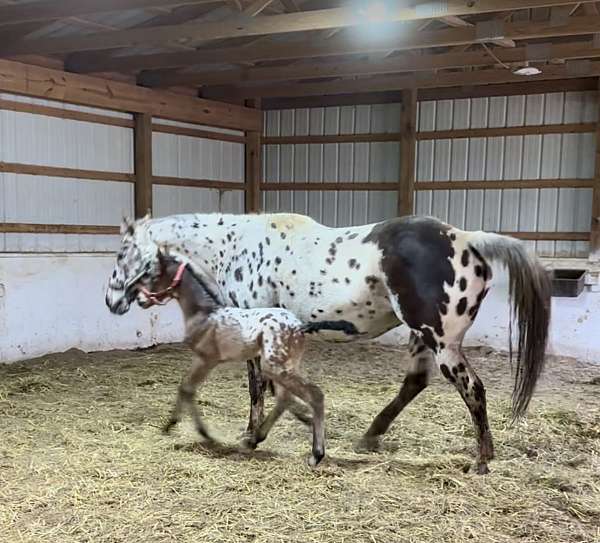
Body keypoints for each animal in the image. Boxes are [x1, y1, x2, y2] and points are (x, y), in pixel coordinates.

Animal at [137, 253, 338, 466]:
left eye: (155, 275)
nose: (141, 300)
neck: (204, 313)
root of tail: (300, 326)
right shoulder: (202, 359)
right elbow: (186, 388)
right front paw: (175, 426)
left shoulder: (206, 359)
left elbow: (187, 388)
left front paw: (191, 430)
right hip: (284, 366)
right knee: (285, 399)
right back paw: (254, 440)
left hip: (275, 367)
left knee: (314, 395)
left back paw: (316, 454)